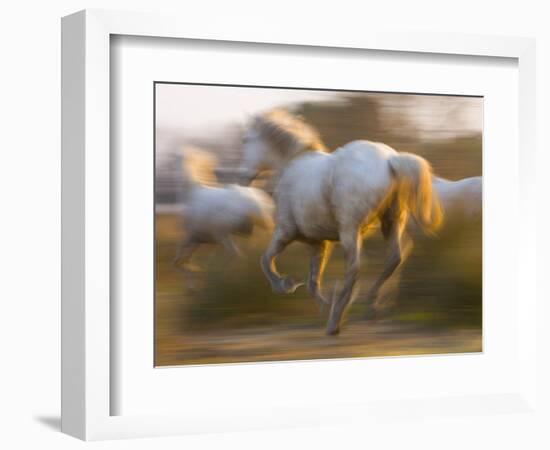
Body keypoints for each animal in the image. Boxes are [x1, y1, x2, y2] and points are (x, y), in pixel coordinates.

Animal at [240, 109, 444, 334]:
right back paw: (371, 306)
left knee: (355, 268)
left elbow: (266, 261)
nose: (243, 177)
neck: (291, 165)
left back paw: (336, 321)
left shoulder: (285, 233)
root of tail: (391, 160)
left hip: (350, 231)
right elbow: (312, 282)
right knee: (394, 258)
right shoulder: (319, 243)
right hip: (391, 222)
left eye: (246, 140)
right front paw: (324, 304)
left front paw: (285, 285)